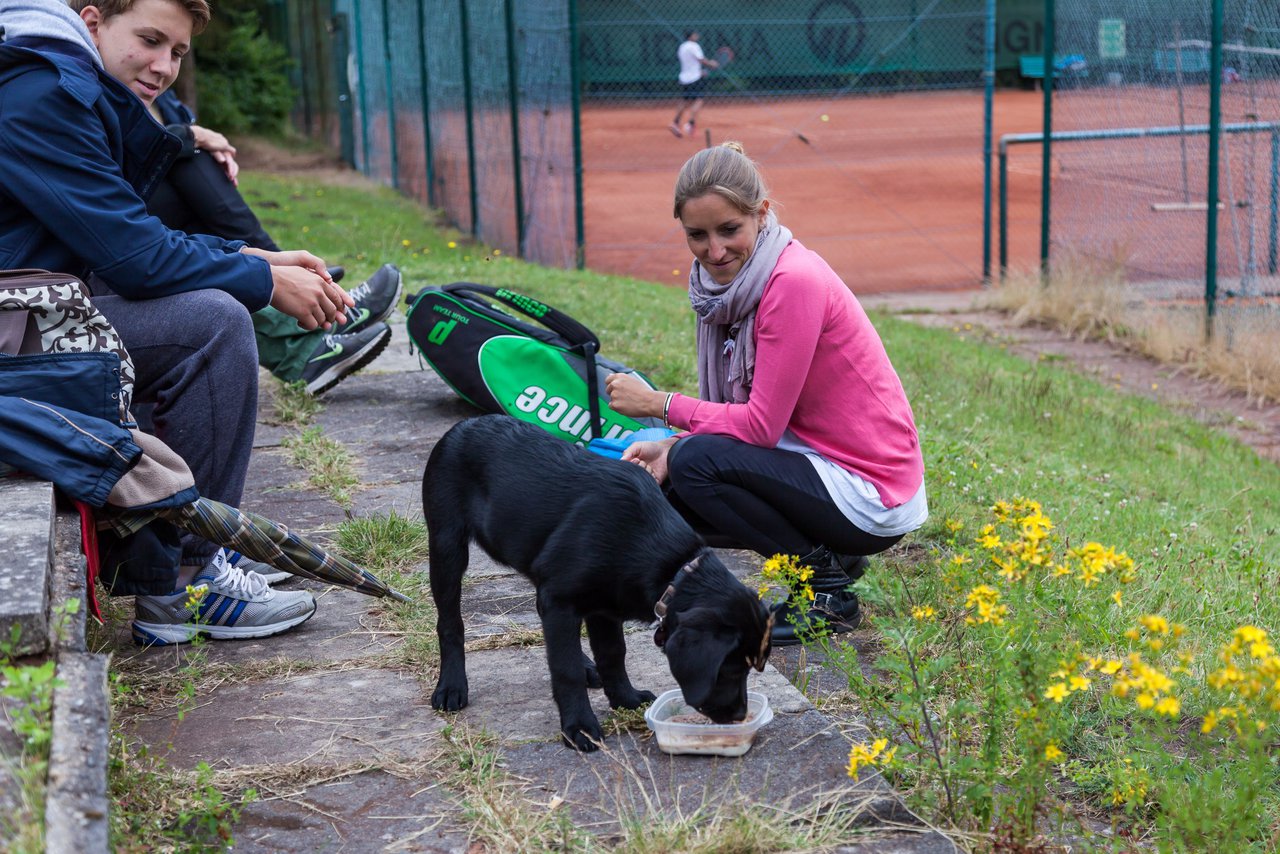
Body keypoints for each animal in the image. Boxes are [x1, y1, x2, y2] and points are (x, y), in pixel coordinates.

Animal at [424, 417, 773, 752]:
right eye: (729, 670)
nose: (740, 715)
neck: (667, 560)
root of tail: (463, 426)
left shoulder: (604, 606)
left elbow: (613, 653)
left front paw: (624, 697)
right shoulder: (562, 600)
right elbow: (565, 669)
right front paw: (579, 726)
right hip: (446, 547)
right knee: (450, 622)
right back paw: (451, 685)